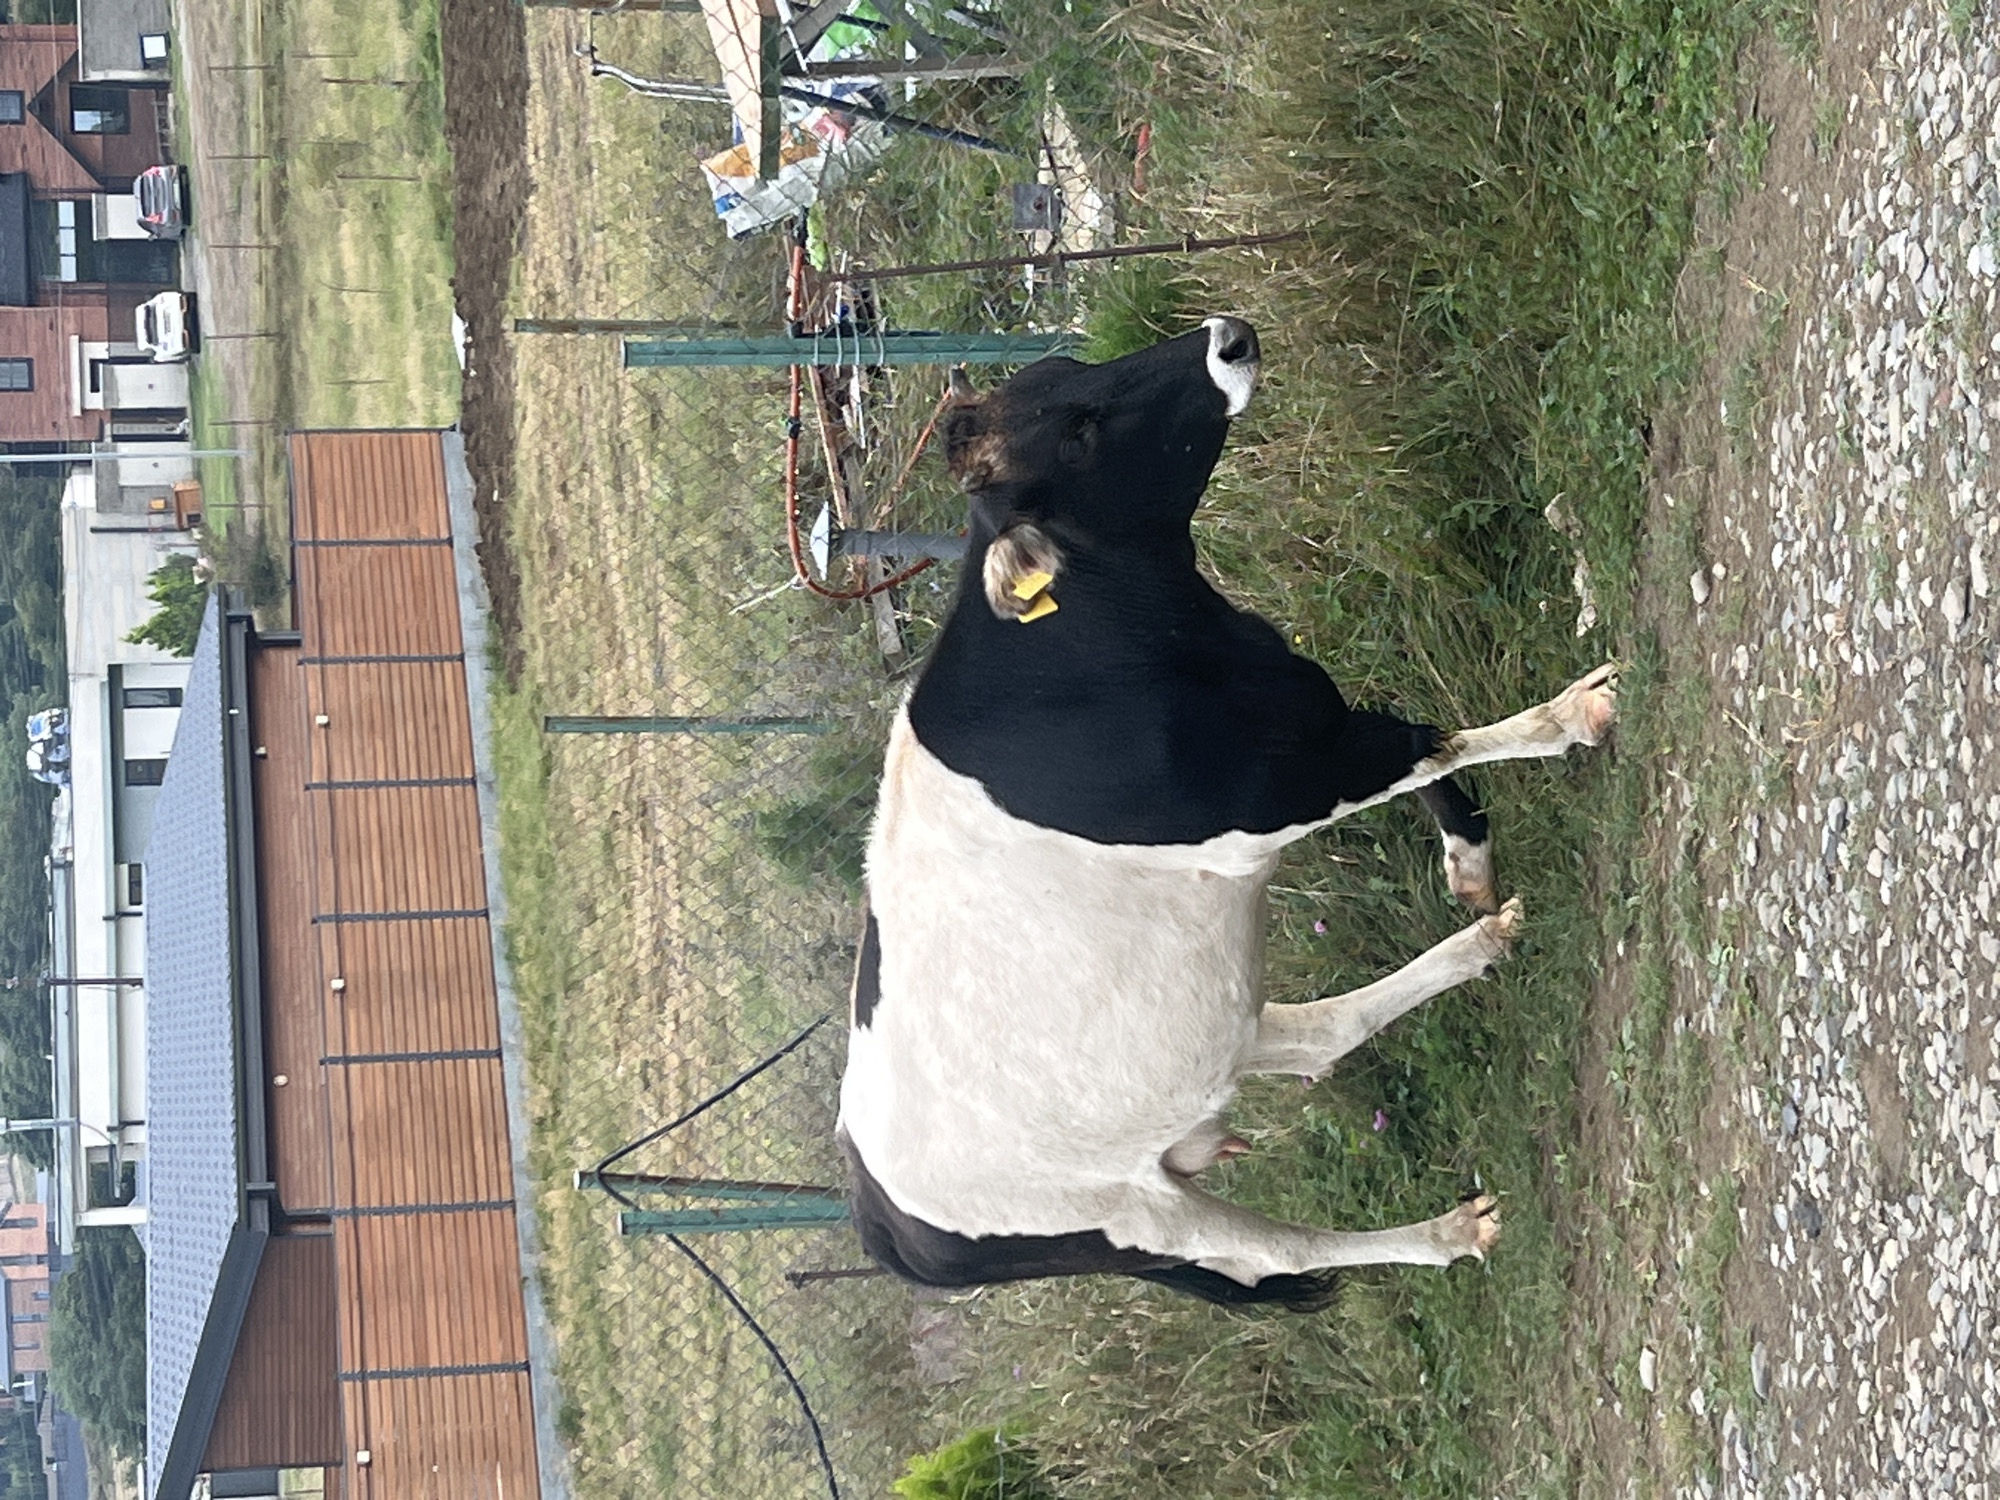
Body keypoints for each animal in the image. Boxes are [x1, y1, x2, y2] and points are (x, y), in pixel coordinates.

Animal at [836, 317, 1616, 1310]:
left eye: (1070, 366)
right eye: (1078, 434)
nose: (1230, 337)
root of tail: (876, 1213)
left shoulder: (1304, 722)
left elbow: (1417, 741)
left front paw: (1469, 864)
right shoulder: (1277, 788)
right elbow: (1431, 741)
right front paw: (1568, 720)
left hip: (1209, 1050)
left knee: (1313, 1035)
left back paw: (1481, 946)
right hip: (1133, 1220)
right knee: (1272, 1254)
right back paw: (1448, 1231)